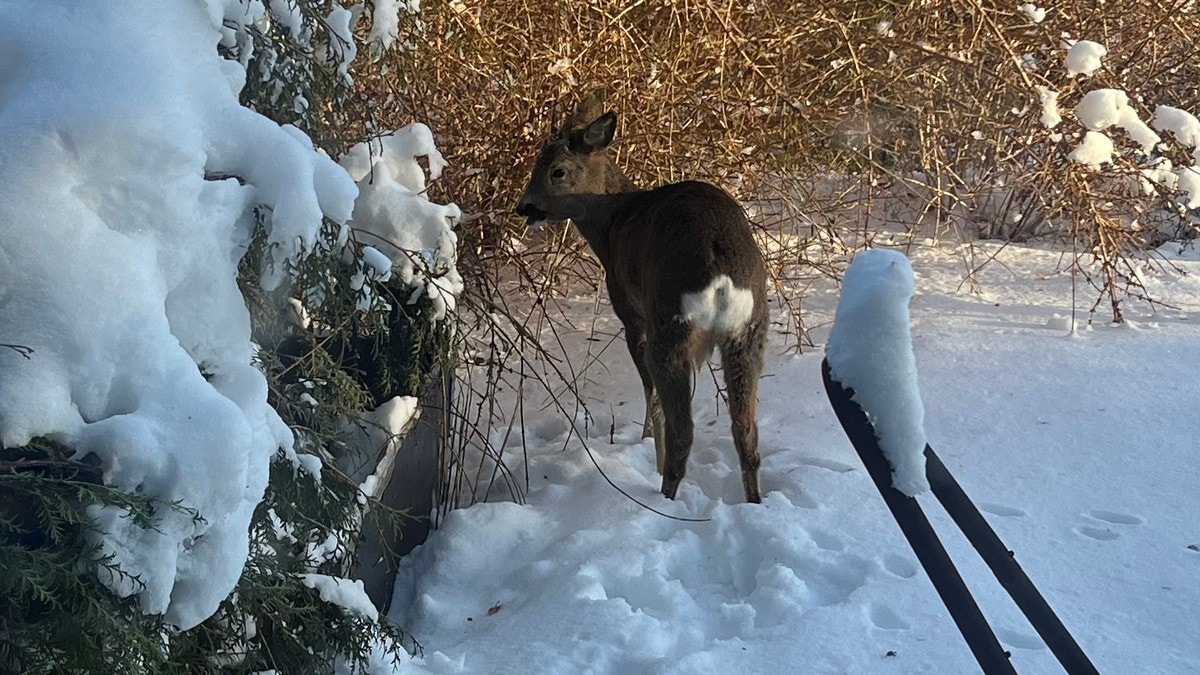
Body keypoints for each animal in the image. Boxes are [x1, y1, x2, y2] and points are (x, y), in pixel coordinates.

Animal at [516, 88, 768, 499]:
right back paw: (753, 502)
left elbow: (651, 400)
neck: (613, 222)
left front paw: (651, 450)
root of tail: (721, 272)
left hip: (671, 323)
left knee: (684, 429)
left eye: (557, 171)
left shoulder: (631, 314)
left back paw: (665, 495)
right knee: (746, 433)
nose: (524, 207)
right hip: (750, 330)